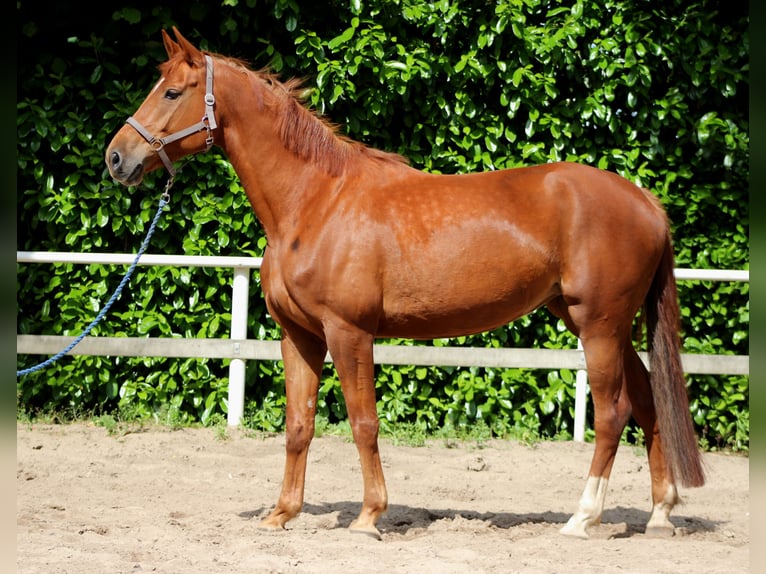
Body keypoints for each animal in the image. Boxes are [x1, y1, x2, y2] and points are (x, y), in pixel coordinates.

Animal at [106, 28, 704, 540]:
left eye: (172, 92)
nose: (117, 158)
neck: (315, 201)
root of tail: (645, 201)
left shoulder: (349, 332)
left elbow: (363, 422)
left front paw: (369, 516)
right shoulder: (299, 336)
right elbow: (298, 424)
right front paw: (282, 514)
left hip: (599, 325)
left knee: (613, 412)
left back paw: (583, 518)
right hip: (605, 325)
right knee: (648, 403)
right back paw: (659, 514)